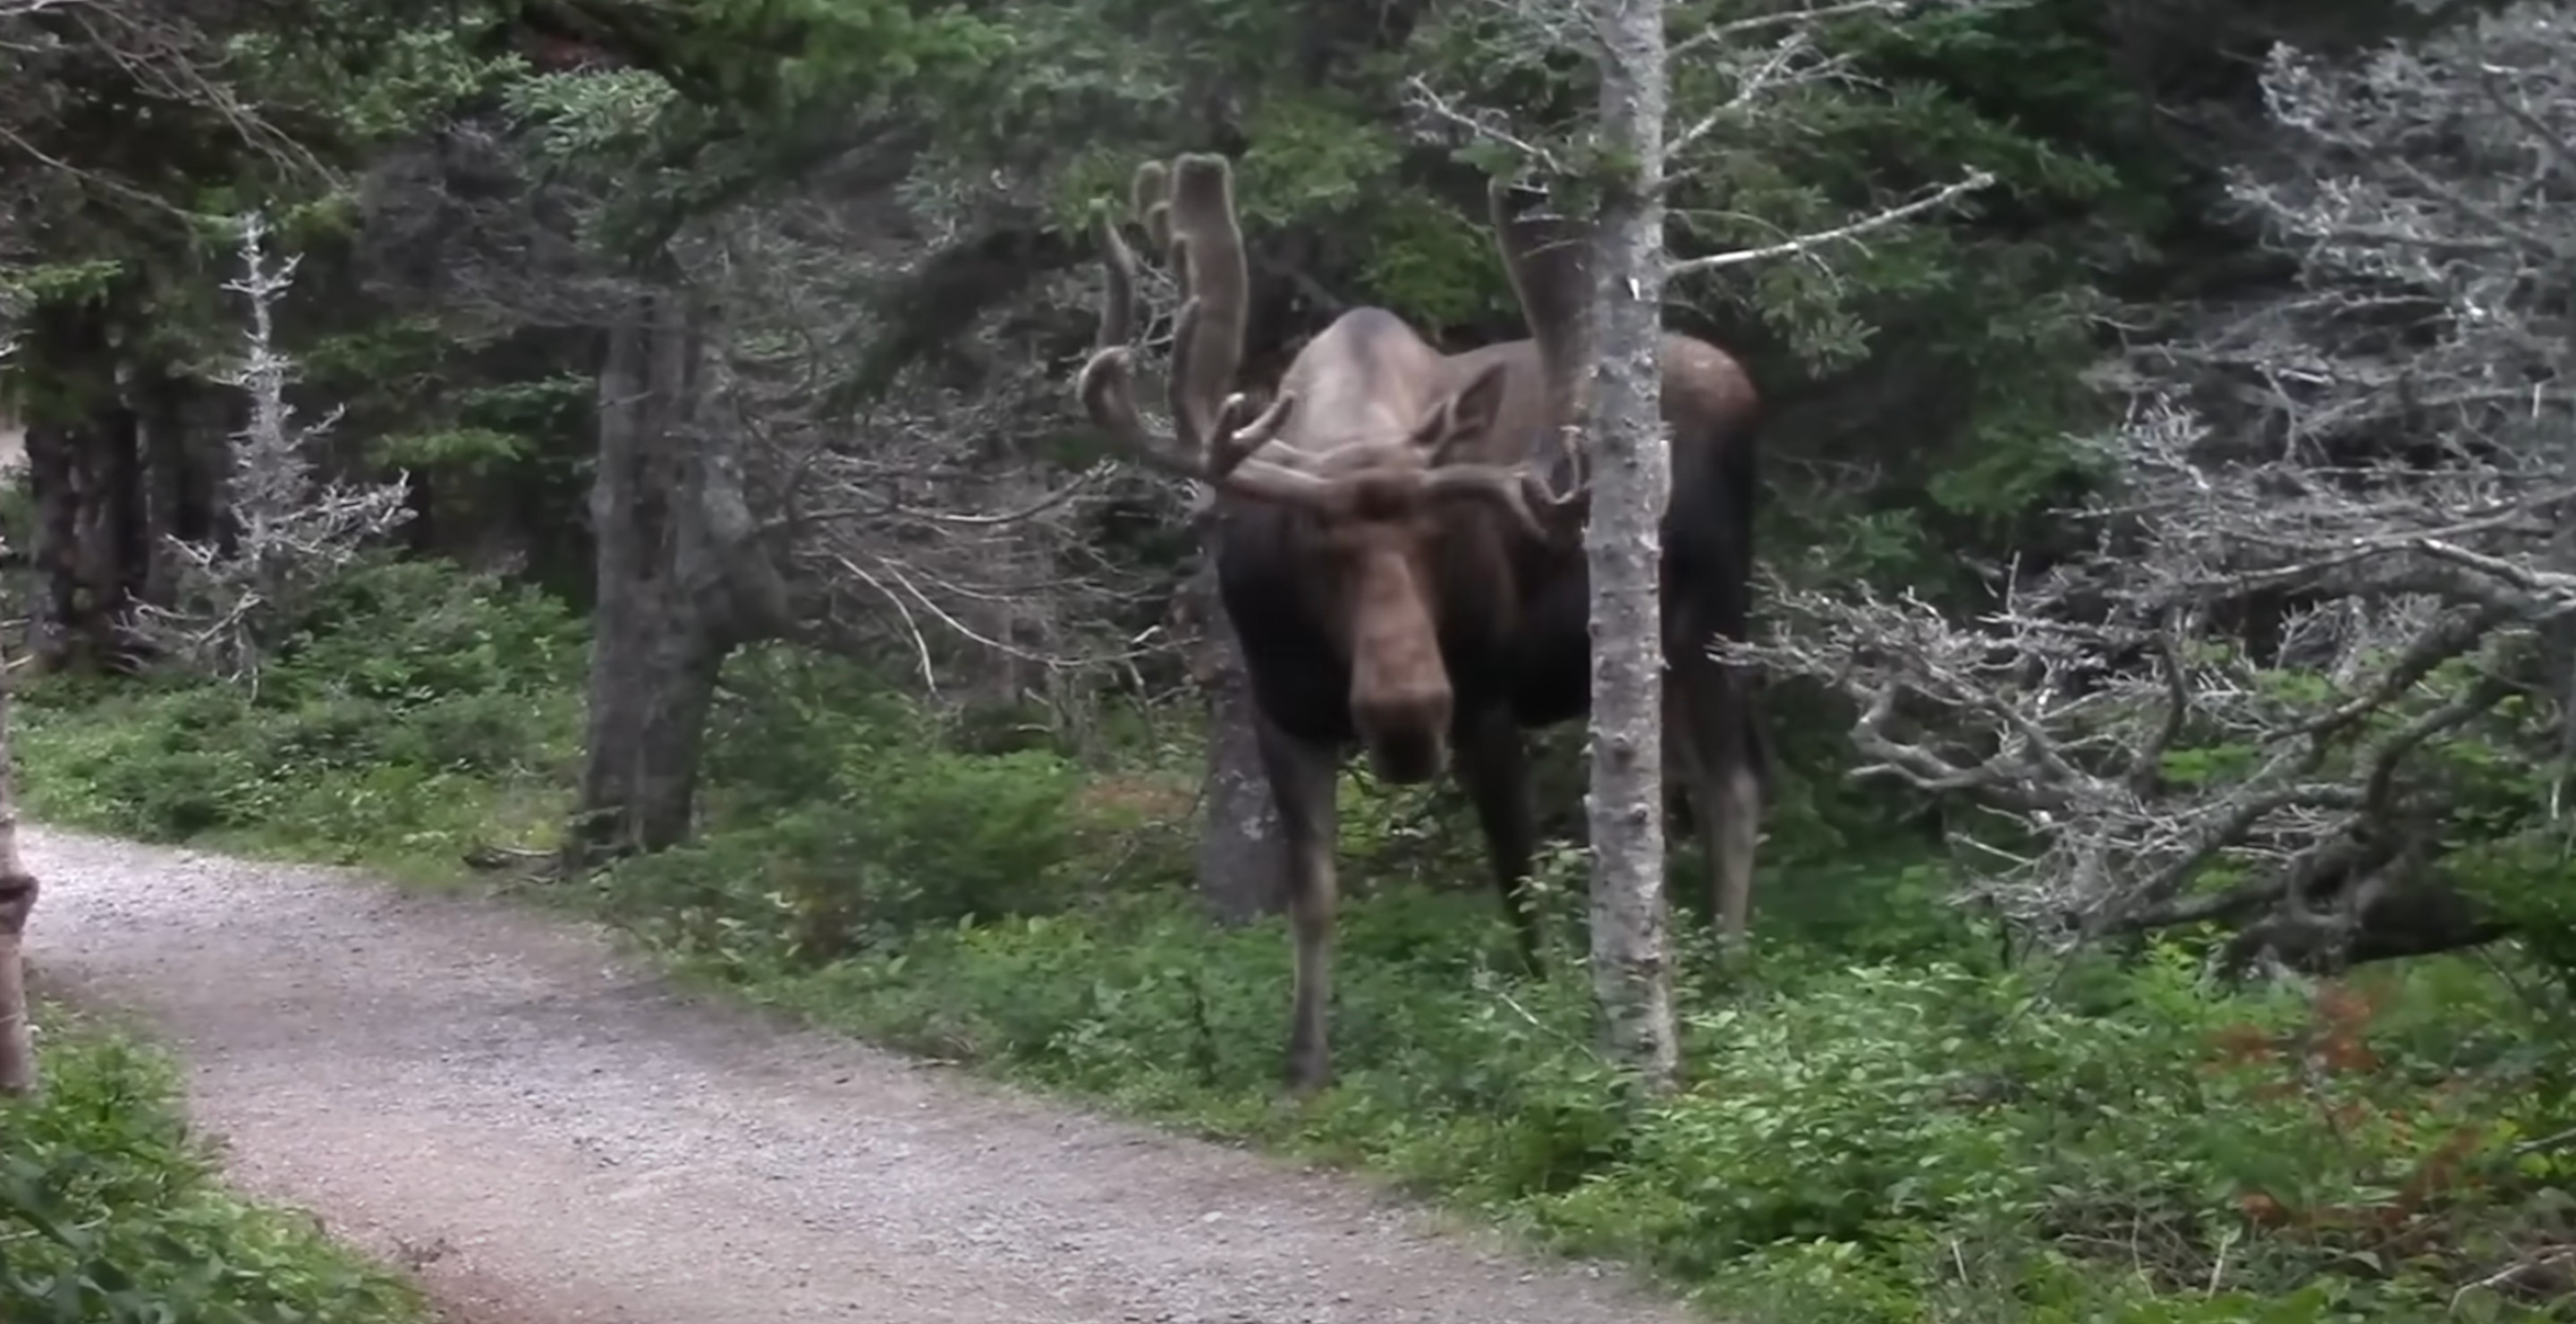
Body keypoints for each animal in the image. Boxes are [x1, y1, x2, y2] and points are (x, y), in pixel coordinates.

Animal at [1072, 149, 1772, 1087]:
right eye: (1314, 547)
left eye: (1444, 536)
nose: (1404, 718)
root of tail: (1745, 381)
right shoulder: (1281, 714)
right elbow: (1313, 896)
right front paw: (1304, 1064)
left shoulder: (1486, 703)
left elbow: (1517, 882)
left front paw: (1545, 1020)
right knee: (1687, 788)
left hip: (1714, 616)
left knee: (1736, 787)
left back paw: (1729, 975)